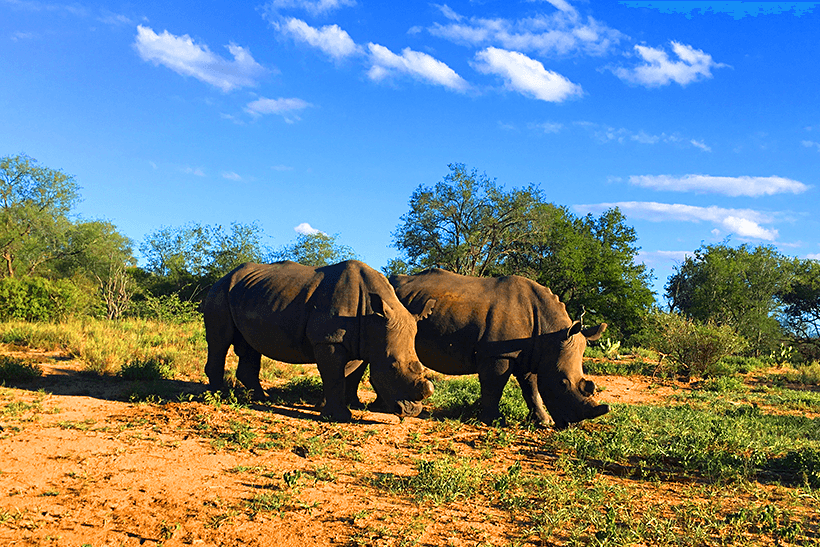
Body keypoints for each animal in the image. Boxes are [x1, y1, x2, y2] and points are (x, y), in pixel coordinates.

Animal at [202, 260, 436, 422]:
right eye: (391, 368)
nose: (411, 412)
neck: (372, 318)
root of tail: (225, 276)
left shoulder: (357, 341)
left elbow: (341, 374)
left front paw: (322, 407)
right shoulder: (329, 339)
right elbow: (334, 375)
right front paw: (340, 417)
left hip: (249, 293)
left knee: (250, 345)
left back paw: (262, 398)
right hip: (219, 291)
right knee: (219, 342)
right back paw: (217, 395)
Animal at [350, 268, 612, 430]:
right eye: (562, 383)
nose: (572, 425)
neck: (550, 332)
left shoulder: (530, 352)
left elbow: (532, 387)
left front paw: (543, 422)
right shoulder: (498, 353)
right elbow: (495, 385)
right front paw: (494, 421)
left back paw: (380, 407)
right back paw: (376, 408)